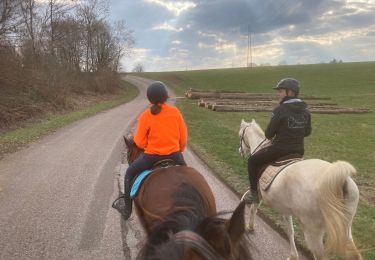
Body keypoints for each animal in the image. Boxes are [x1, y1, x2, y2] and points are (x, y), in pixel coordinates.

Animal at [239, 119, 362, 260]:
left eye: (240, 135)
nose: (240, 151)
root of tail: (340, 179)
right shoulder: (285, 210)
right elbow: (290, 231)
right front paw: (293, 255)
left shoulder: (259, 195)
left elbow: (253, 209)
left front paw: (250, 227)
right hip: (346, 228)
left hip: (313, 232)